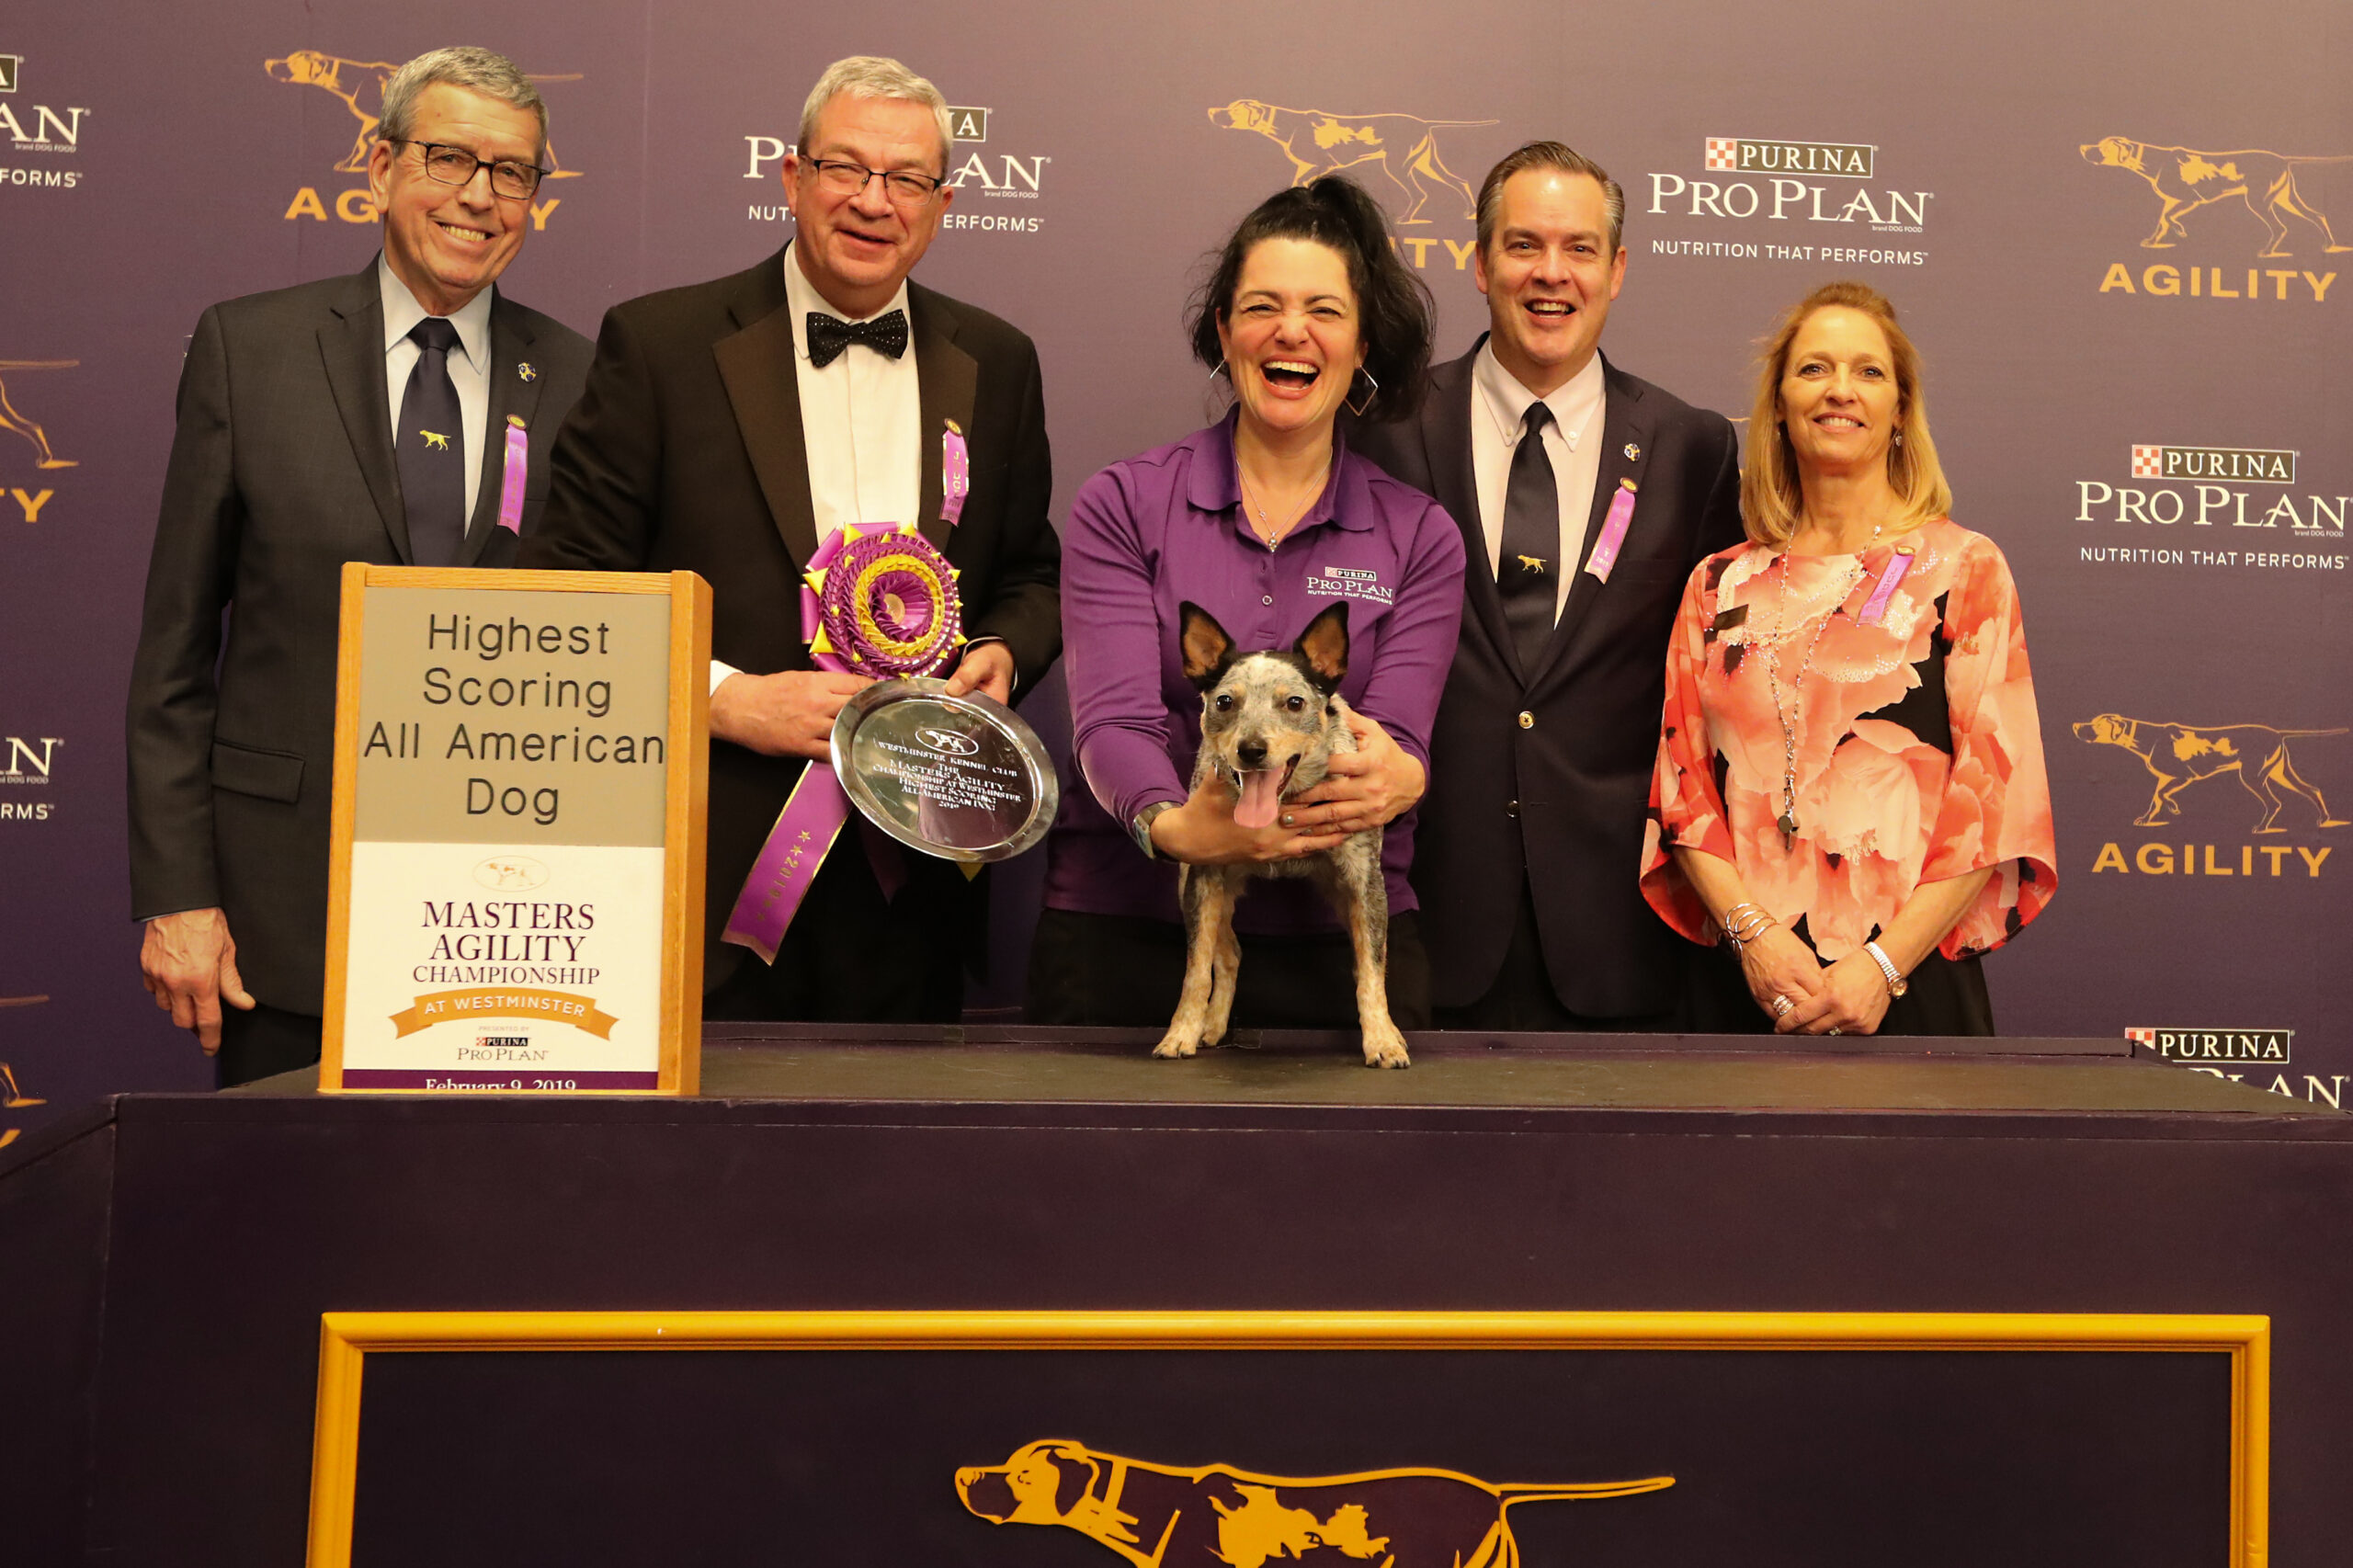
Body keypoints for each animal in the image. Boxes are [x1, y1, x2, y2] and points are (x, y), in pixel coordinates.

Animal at [1153, 596, 1402, 1063]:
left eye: (1294, 703)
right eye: (1225, 701)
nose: (1251, 749)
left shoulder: (1365, 881)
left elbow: (1372, 969)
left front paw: (1382, 1039)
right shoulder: (1203, 879)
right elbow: (1196, 971)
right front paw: (1180, 1032)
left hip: (1340, 892)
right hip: (1190, 886)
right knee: (1229, 954)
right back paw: (1211, 1025)